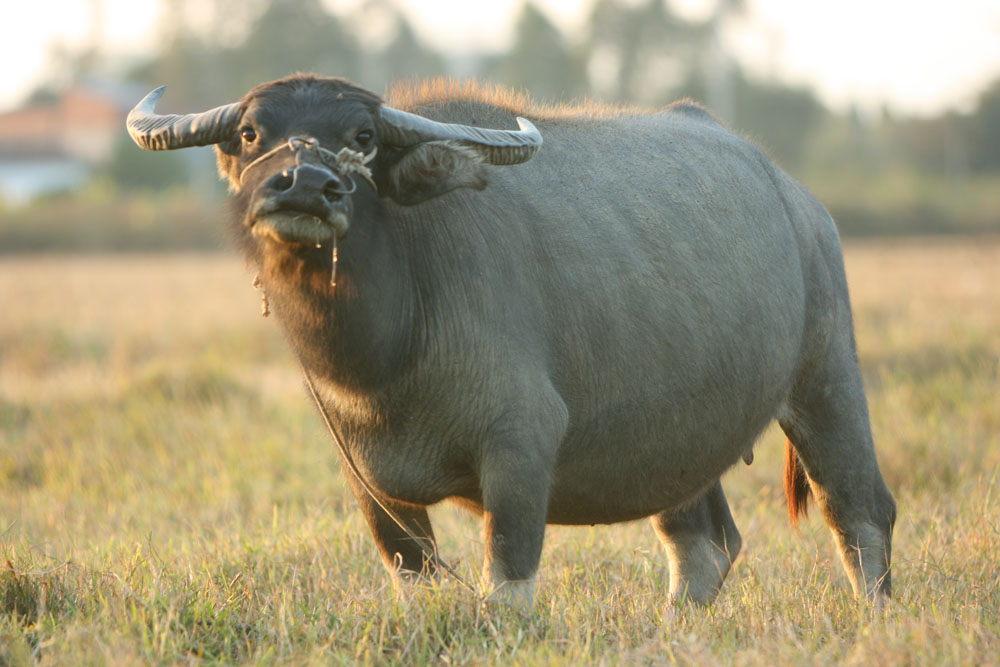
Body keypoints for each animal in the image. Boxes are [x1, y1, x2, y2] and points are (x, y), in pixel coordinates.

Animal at [127, 75, 900, 608]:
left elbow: (508, 589)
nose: (305, 186)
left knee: (860, 512)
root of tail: (801, 201)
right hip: (680, 441)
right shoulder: (370, 485)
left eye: (362, 135)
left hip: (827, 379)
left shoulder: (521, 449)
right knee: (703, 542)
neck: (388, 361)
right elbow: (416, 579)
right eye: (252, 133)